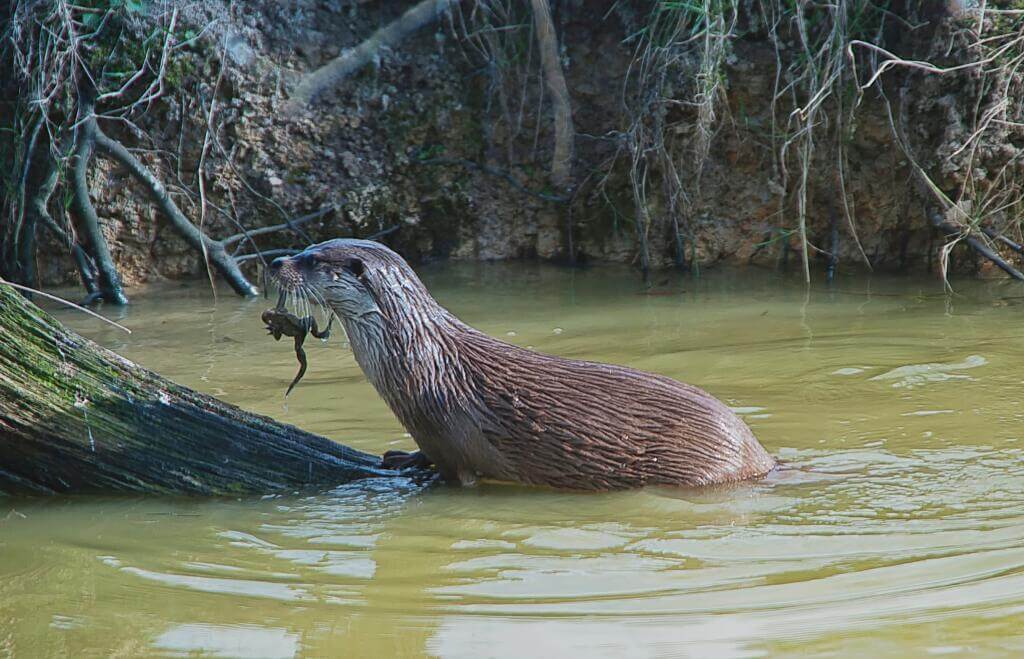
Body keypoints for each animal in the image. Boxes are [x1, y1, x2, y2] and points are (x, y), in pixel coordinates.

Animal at [269, 239, 775, 490]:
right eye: (306, 245)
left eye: (313, 260)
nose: (275, 261)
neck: (424, 365)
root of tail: (761, 459)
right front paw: (404, 457)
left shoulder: (454, 439)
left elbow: (456, 473)